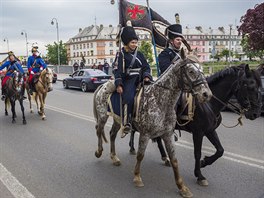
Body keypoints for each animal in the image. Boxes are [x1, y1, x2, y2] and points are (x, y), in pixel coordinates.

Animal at [93, 55, 212, 198]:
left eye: (202, 69)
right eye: (190, 71)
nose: (207, 94)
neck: (160, 100)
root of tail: (103, 85)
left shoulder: (167, 134)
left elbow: (174, 160)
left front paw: (182, 187)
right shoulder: (145, 134)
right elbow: (140, 155)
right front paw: (137, 177)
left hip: (117, 119)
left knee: (112, 134)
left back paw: (114, 157)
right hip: (103, 116)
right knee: (99, 131)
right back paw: (99, 151)